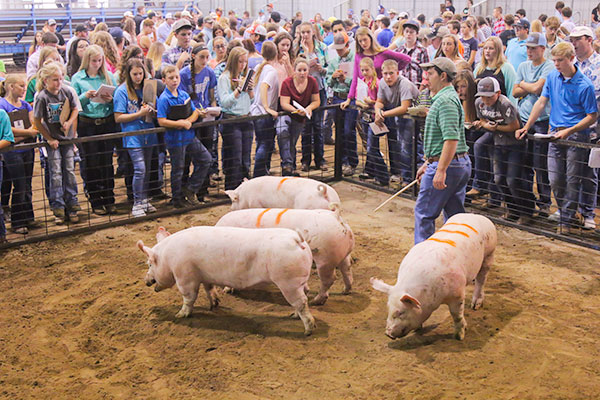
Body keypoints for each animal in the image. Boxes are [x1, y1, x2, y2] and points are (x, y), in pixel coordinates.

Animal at [139, 227, 318, 336]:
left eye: (149, 264)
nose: (146, 281)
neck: (168, 258)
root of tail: (297, 239)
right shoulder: (205, 276)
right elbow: (209, 289)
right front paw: (214, 305)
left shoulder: (185, 277)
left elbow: (189, 297)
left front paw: (180, 315)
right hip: (299, 281)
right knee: (304, 295)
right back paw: (293, 316)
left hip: (288, 282)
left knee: (301, 301)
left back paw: (308, 331)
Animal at [217, 205, 354, 304]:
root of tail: (336, 217)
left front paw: (227, 290)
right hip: (343, 253)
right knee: (346, 269)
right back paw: (345, 291)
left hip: (325, 259)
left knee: (329, 279)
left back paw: (316, 301)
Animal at [370, 212, 496, 340]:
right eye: (388, 308)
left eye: (401, 312)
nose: (388, 334)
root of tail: (476, 215)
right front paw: (418, 329)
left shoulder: (458, 294)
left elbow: (456, 315)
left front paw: (459, 336)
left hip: (489, 253)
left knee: (481, 279)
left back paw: (475, 306)